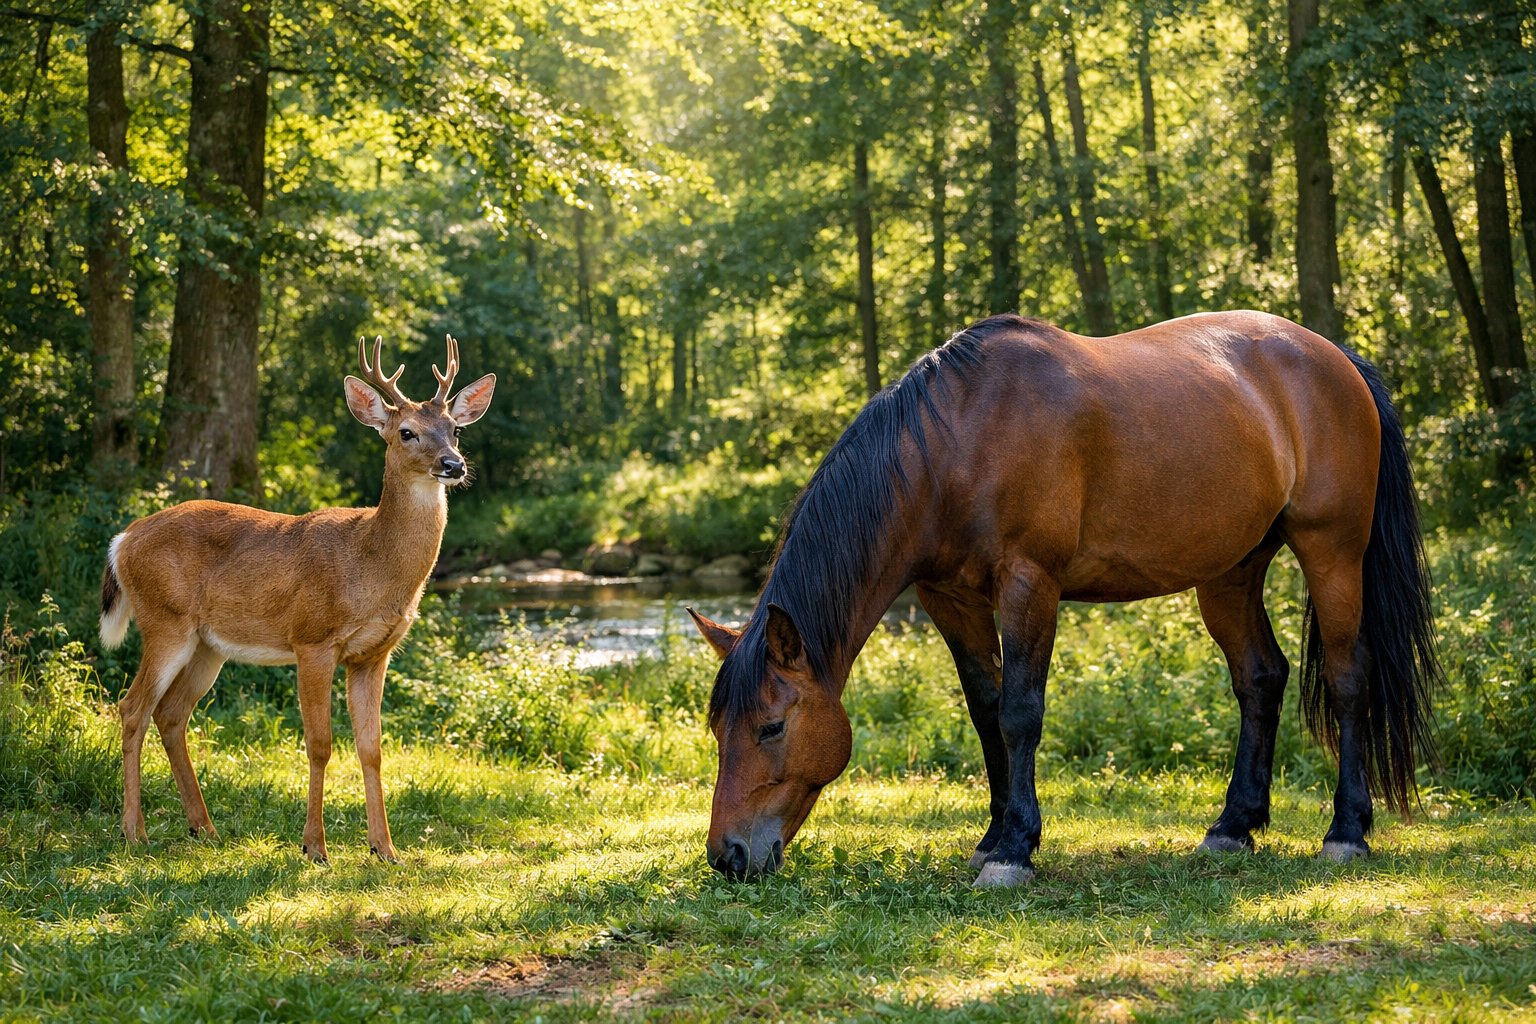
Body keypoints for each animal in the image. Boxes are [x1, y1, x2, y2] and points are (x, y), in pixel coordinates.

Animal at [99, 335, 495, 862]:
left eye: (454, 428)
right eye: (407, 432)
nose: (453, 464)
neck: (369, 564)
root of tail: (121, 541)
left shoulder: (374, 654)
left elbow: (372, 748)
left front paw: (385, 849)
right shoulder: (313, 639)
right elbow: (320, 744)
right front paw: (315, 847)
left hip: (208, 646)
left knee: (171, 714)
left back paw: (204, 827)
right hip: (165, 621)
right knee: (132, 708)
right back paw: (135, 831)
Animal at [688, 311, 1442, 887]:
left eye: (771, 727)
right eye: (719, 729)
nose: (729, 857)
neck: (956, 442)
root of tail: (1337, 359)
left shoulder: (1030, 584)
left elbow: (1021, 712)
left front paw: (1016, 850)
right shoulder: (949, 599)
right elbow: (986, 712)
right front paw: (993, 837)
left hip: (1332, 552)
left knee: (1347, 679)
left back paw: (1347, 831)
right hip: (1229, 572)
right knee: (1260, 677)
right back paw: (1233, 826)